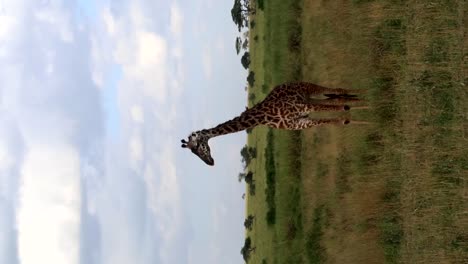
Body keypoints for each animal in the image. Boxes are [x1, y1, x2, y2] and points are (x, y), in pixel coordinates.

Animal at [183, 81, 370, 166]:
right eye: (192, 152)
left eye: (198, 146)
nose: (210, 162)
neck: (263, 117)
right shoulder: (304, 122)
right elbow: (340, 119)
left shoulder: (305, 108)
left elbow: (343, 110)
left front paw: (369, 113)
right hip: (309, 96)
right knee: (338, 96)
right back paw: (362, 97)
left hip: (309, 89)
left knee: (339, 92)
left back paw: (364, 94)